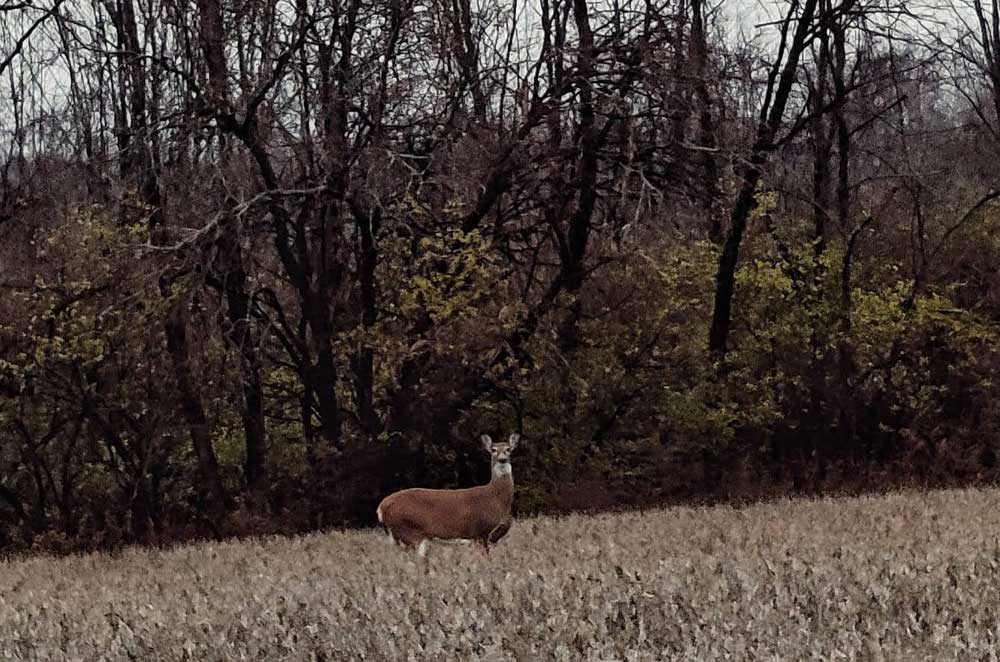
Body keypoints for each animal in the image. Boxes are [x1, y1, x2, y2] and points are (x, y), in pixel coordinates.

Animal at [376, 434, 524, 556]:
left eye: (508, 449)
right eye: (493, 450)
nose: (502, 459)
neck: (496, 499)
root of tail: (381, 507)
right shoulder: (480, 532)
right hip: (409, 531)